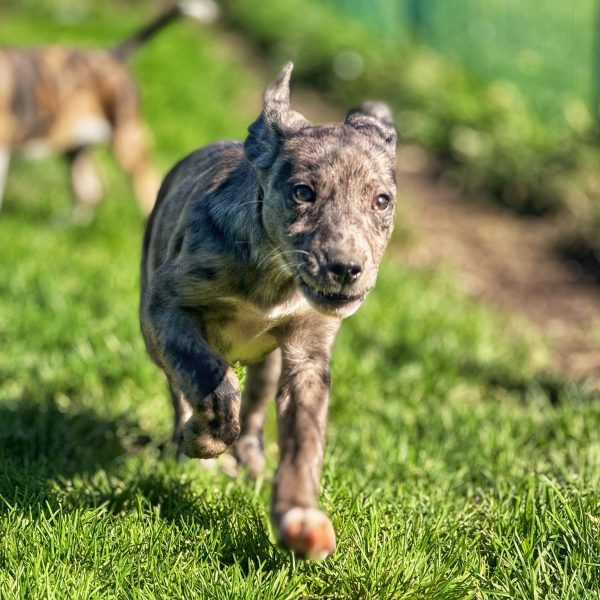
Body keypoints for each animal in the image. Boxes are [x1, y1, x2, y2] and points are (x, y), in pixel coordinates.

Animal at [0, 0, 217, 220]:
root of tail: (114, 55)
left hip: (128, 139)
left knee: (146, 185)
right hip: (76, 145)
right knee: (89, 189)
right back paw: (71, 223)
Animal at [140, 63, 397, 560]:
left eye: (382, 201)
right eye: (303, 193)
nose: (346, 269)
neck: (275, 276)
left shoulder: (308, 354)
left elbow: (303, 442)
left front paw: (299, 519)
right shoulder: (166, 306)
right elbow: (212, 380)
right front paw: (202, 439)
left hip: (269, 362)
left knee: (257, 408)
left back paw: (253, 460)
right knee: (183, 391)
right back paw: (191, 448)